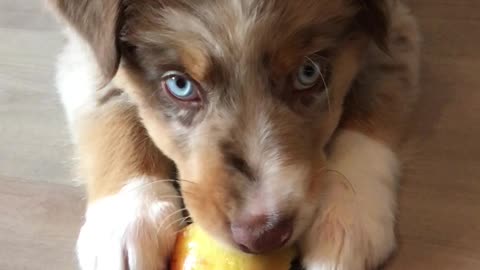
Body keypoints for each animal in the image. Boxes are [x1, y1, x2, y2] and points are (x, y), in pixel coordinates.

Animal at [48, 0, 420, 268]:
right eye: (179, 85)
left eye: (308, 72)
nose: (264, 235)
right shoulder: (87, 49)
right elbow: (108, 102)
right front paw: (127, 221)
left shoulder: (394, 26)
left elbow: (376, 98)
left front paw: (346, 219)